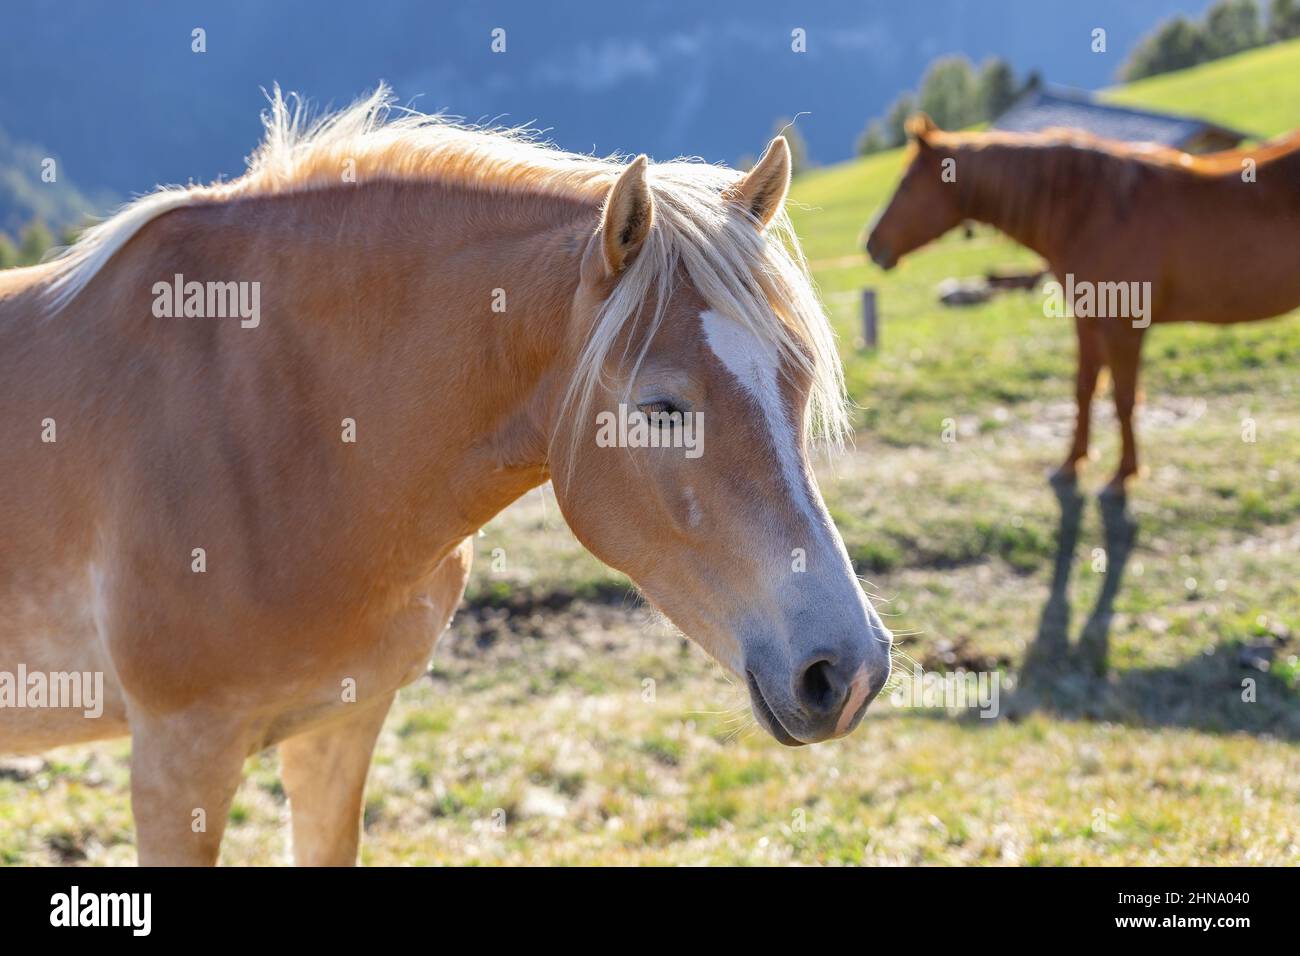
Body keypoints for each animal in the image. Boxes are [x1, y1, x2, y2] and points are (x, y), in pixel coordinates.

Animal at [0, 89, 894, 868]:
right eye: (663, 407)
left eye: (799, 380)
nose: (848, 672)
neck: (278, 422)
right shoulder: (179, 753)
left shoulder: (340, 725)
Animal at [863, 113, 1300, 494]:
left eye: (905, 184)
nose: (870, 243)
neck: (1094, 210)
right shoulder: (1087, 322)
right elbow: (1084, 389)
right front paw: (1072, 462)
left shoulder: (1124, 328)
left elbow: (1124, 399)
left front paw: (1123, 474)